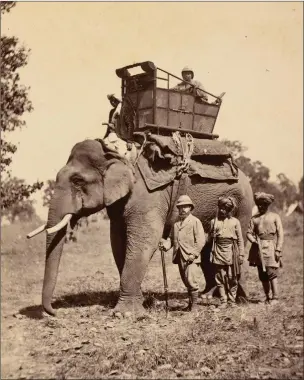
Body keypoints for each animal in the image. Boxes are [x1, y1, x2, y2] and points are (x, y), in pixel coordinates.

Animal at [29, 138, 254, 316]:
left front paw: (124, 314)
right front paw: (143, 302)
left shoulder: (148, 196)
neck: (118, 153)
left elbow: (144, 240)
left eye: (77, 180)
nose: (54, 312)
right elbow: (118, 242)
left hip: (242, 205)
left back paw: (239, 299)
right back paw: (209, 296)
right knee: (208, 248)